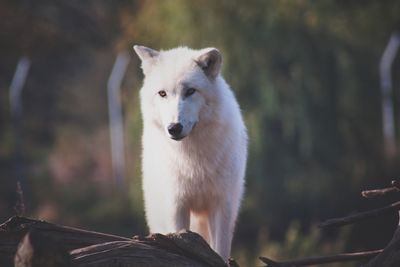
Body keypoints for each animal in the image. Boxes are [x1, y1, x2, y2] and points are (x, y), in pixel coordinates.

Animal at [134, 45, 247, 260]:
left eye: (190, 91)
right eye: (162, 93)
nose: (174, 128)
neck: (194, 160)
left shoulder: (222, 205)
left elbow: (220, 251)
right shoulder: (176, 205)